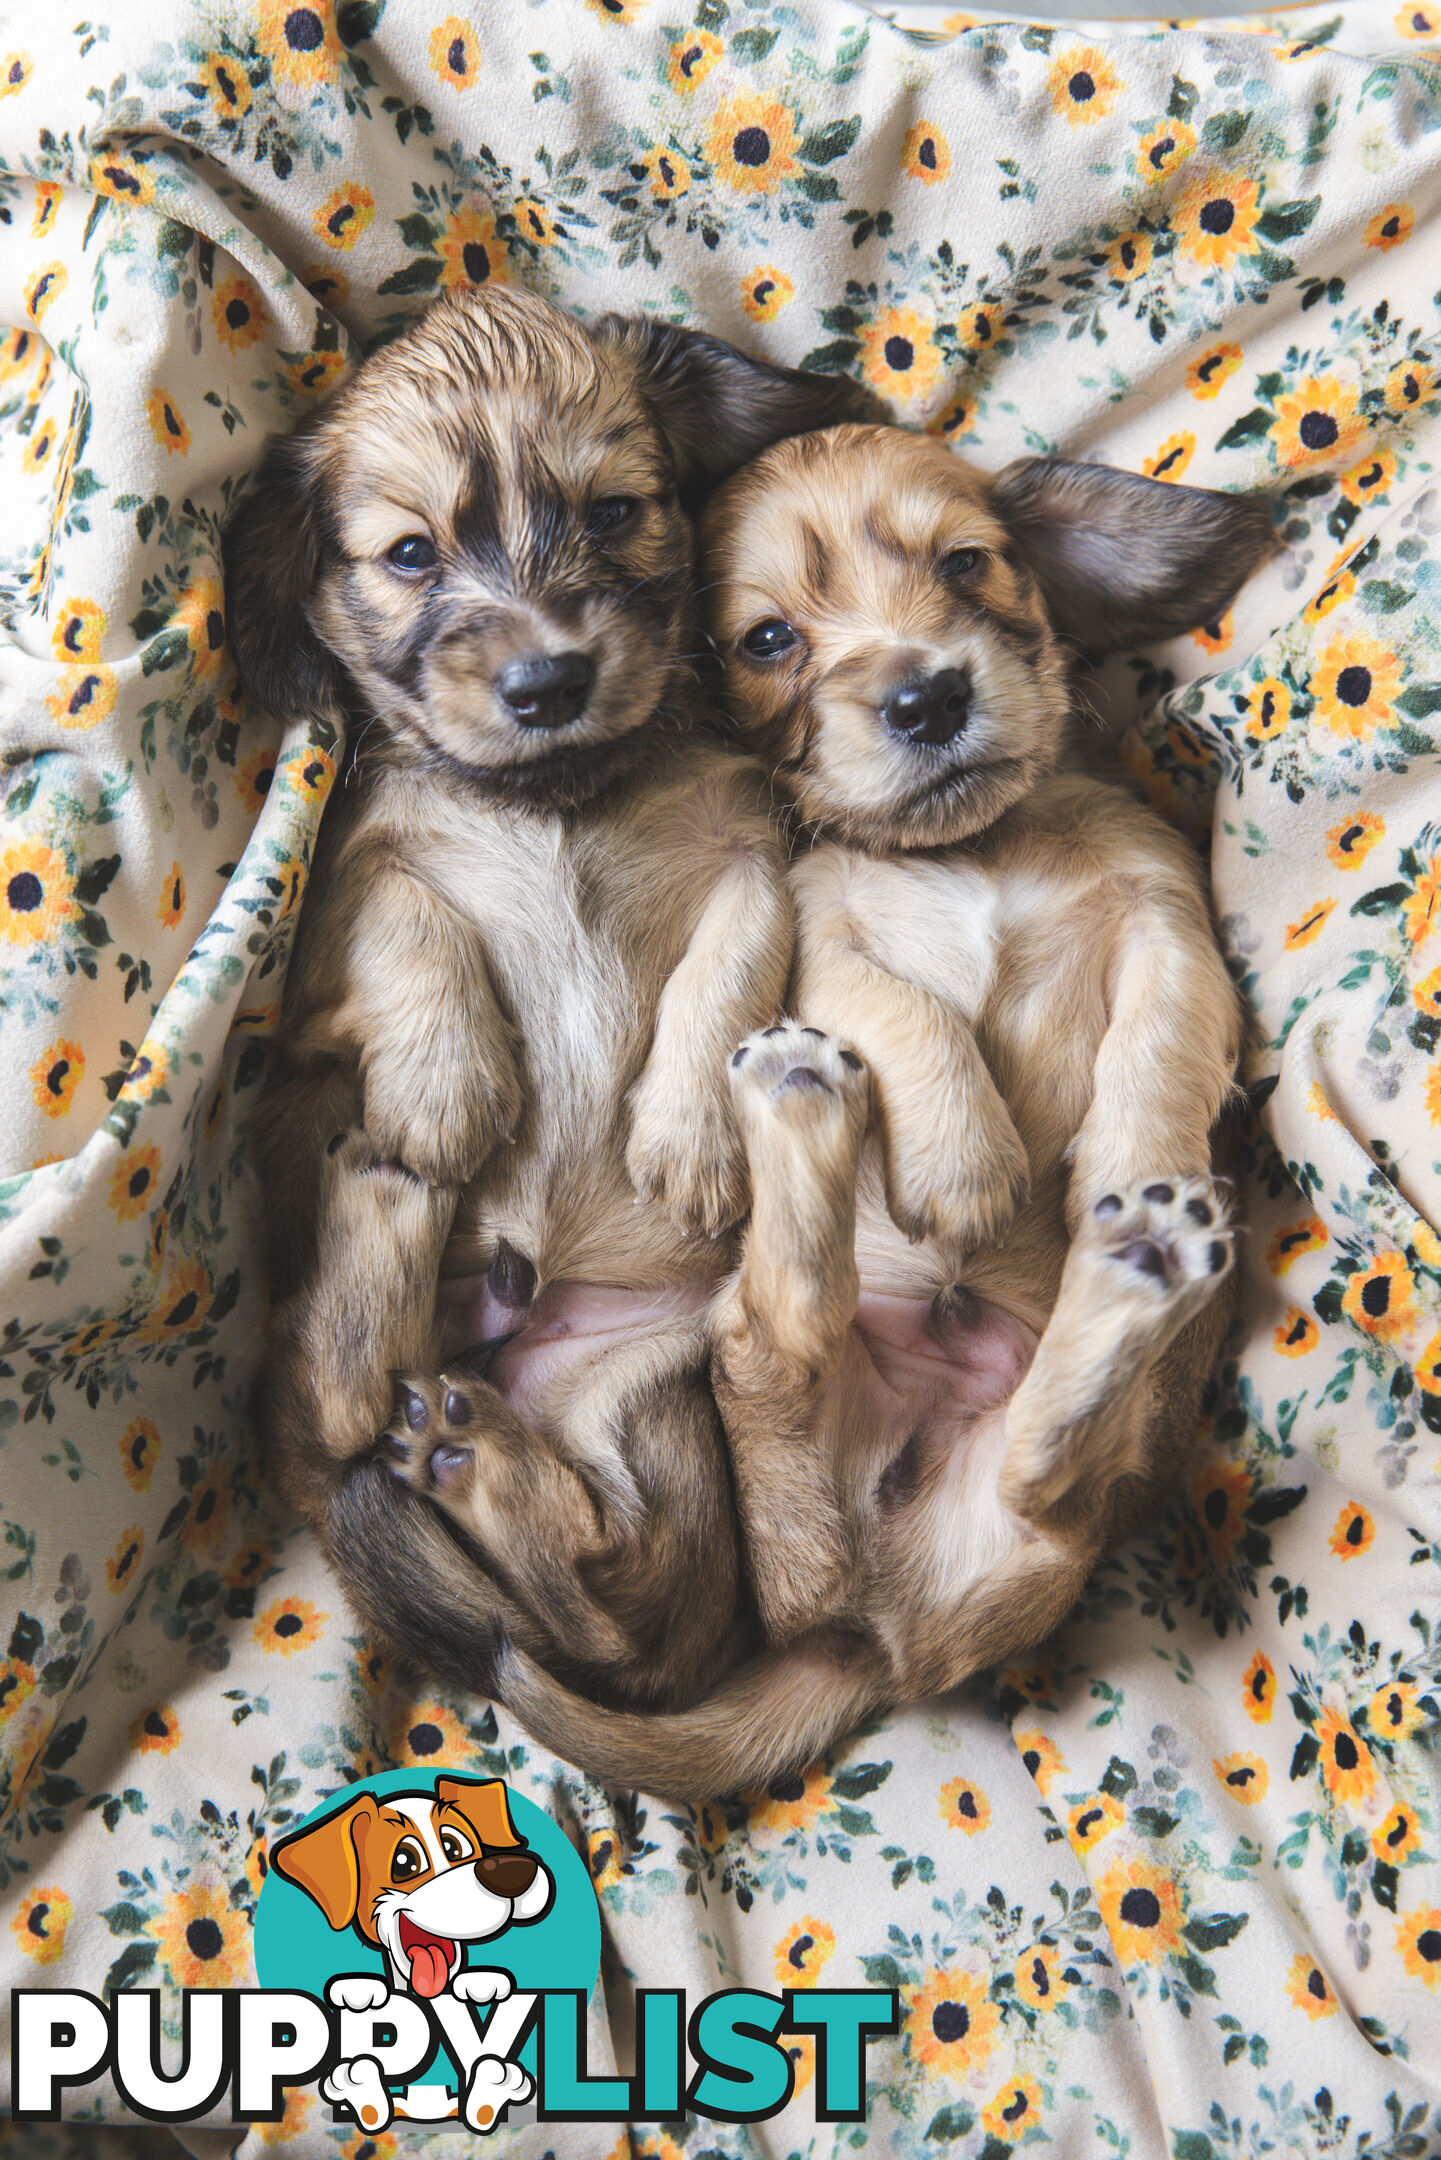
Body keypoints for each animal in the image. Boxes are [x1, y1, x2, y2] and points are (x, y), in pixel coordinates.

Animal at [225, 282, 851, 1719]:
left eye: (615, 513)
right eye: (409, 555)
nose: (547, 681)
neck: (556, 795)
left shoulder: (751, 860)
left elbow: (726, 974)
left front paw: (687, 1136)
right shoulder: (351, 880)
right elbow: (411, 926)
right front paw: (448, 1091)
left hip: (640, 1398)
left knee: (601, 1592)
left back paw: (472, 1443)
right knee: (328, 1403)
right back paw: (391, 1196)